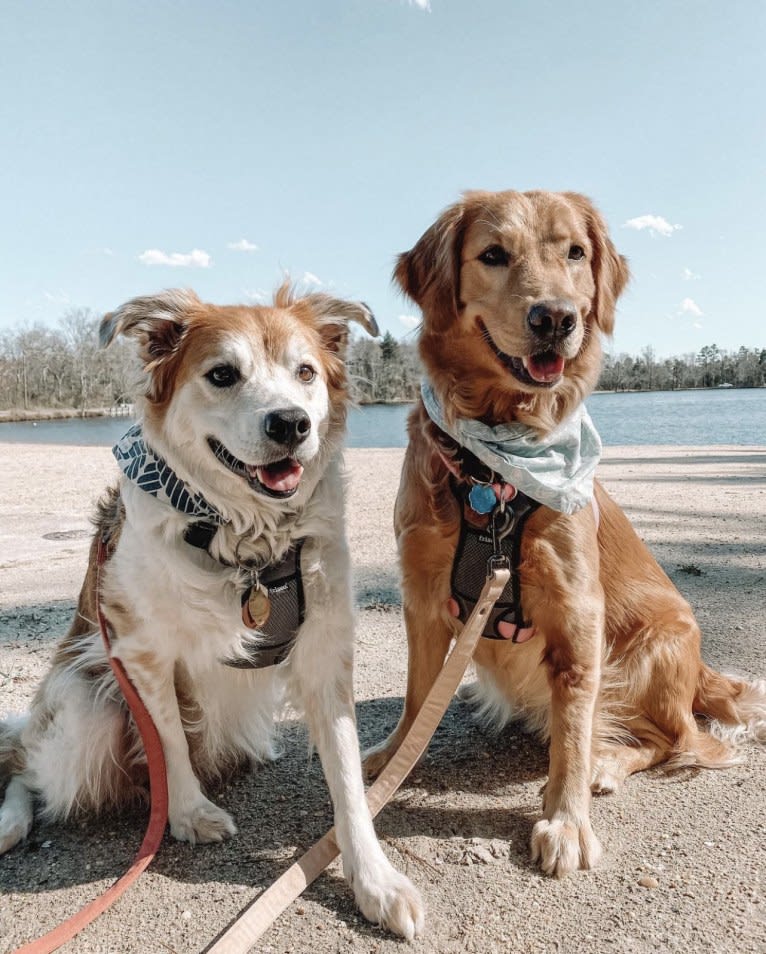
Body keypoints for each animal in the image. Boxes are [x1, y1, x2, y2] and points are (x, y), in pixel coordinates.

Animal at [0, 282, 426, 936]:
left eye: (306, 372)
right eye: (222, 374)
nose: (292, 423)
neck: (246, 535)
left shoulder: (326, 650)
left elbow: (349, 776)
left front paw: (374, 879)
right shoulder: (140, 650)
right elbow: (170, 741)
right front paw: (189, 814)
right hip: (86, 711)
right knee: (23, 762)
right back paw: (11, 821)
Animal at [368, 192, 766, 876]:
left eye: (575, 253)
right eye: (493, 254)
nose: (555, 317)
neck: (491, 473)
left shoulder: (579, 607)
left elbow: (575, 731)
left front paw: (566, 818)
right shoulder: (420, 594)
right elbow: (418, 697)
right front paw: (395, 760)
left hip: (657, 644)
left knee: (682, 741)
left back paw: (610, 762)